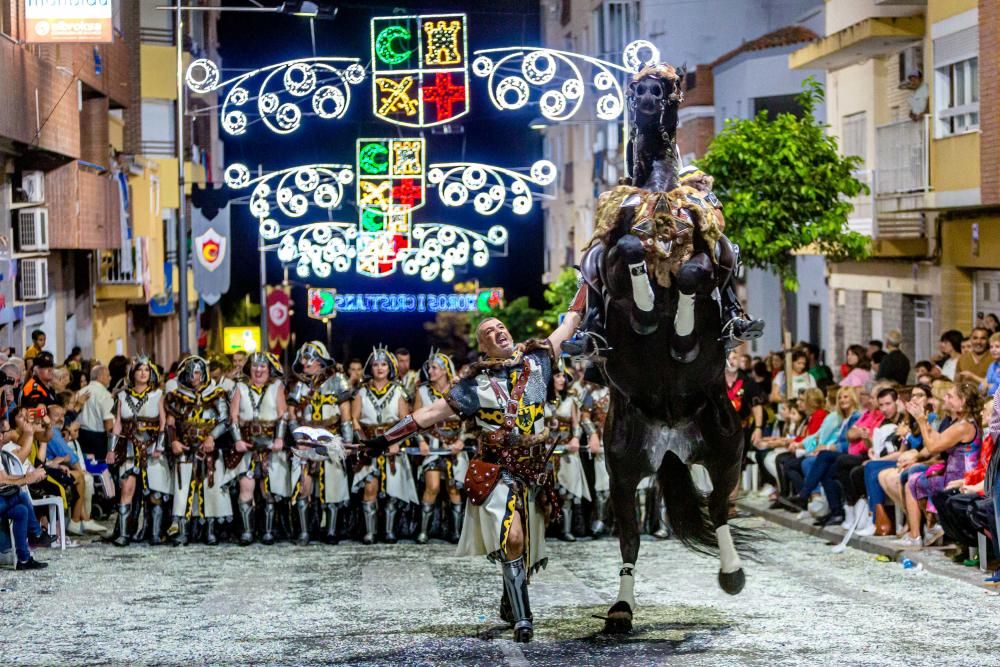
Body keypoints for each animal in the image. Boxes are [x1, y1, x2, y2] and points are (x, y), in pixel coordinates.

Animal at [580, 65, 752, 636]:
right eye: (636, 87)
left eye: (667, 87)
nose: (648, 98)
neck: (657, 193)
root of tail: (672, 443)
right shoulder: (610, 258)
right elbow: (630, 250)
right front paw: (649, 305)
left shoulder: (710, 257)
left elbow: (696, 273)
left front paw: (677, 331)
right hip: (622, 469)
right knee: (630, 540)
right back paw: (620, 610)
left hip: (727, 452)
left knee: (719, 511)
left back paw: (732, 576)